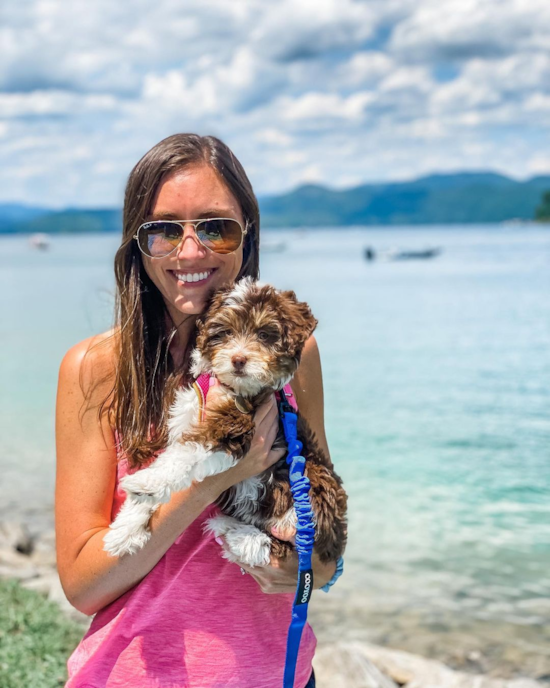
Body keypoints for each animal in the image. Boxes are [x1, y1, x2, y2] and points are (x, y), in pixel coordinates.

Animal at [103, 276, 350, 568]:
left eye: (264, 335)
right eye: (226, 332)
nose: (238, 359)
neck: (232, 387)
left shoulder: (234, 425)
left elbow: (185, 455)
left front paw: (147, 482)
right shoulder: (189, 416)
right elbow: (172, 456)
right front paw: (126, 529)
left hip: (310, 485)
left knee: (290, 544)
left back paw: (240, 536)